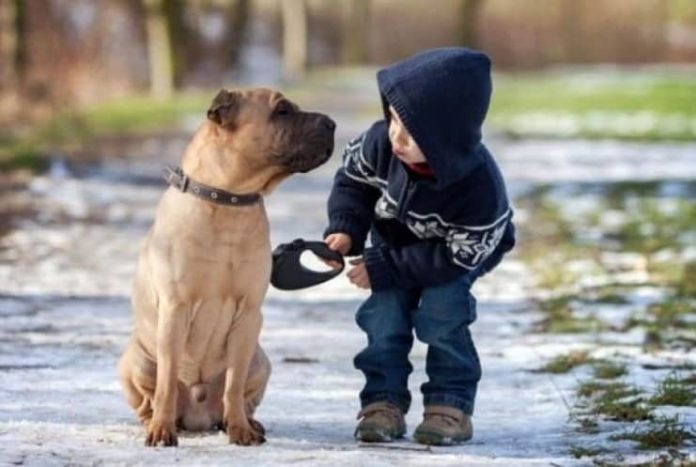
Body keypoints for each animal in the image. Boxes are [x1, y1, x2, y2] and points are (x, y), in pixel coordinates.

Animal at [118, 86, 336, 448]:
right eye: (282, 111)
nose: (331, 123)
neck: (228, 200)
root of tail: (198, 415)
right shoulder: (175, 309)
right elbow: (166, 383)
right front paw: (162, 430)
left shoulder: (248, 313)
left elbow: (233, 384)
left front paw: (240, 430)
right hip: (136, 361)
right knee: (150, 396)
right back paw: (157, 422)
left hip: (260, 361)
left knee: (241, 394)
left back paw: (248, 423)